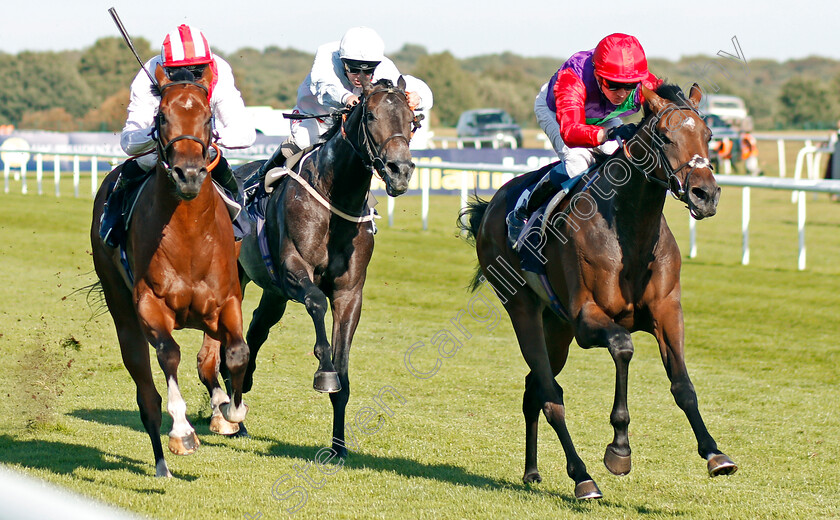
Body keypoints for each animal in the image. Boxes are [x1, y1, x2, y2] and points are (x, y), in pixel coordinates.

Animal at [92, 63, 249, 478]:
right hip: (122, 312)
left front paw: (231, 410)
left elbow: (236, 353)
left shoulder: (226, 301)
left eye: (208, 117)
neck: (189, 232)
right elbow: (170, 354)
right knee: (146, 393)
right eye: (161, 116)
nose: (189, 174)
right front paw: (182, 431)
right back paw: (162, 463)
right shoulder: (150, 305)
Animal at [226, 76, 416, 456]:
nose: (400, 172)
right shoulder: (292, 270)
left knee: (258, 328)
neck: (334, 197)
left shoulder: (349, 292)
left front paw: (339, 447)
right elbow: (315, 302)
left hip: (273, 293)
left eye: (412, 120)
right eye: (370, 115)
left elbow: (344, 370)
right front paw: (323, 371)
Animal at [456, 82, 740, 500]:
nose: (705, 194)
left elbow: (683, 384)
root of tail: (492, 205)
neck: (631, 233)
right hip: (524, 311)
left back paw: (531, 471)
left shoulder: (667, 310)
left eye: (709, 134)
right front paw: (619, 449)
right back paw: (582, 477)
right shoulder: (587, 320)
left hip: (555, 327)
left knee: (534, 387)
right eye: (665, 136)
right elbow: (623, 348)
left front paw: (715, 453)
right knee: (550, 394)